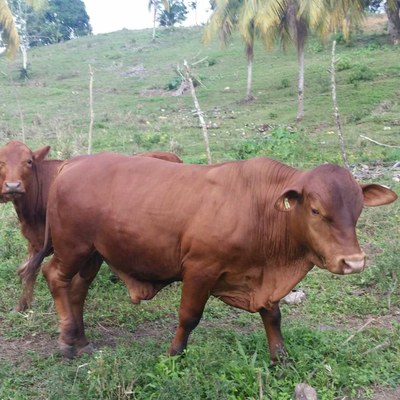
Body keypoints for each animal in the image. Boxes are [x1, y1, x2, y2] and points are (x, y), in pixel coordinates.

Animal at [0, 139, 181, 310]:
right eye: (1, 162)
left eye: (29, 161)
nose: (13, 186)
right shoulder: (35, 242)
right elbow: (30, 273)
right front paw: (22, 306)